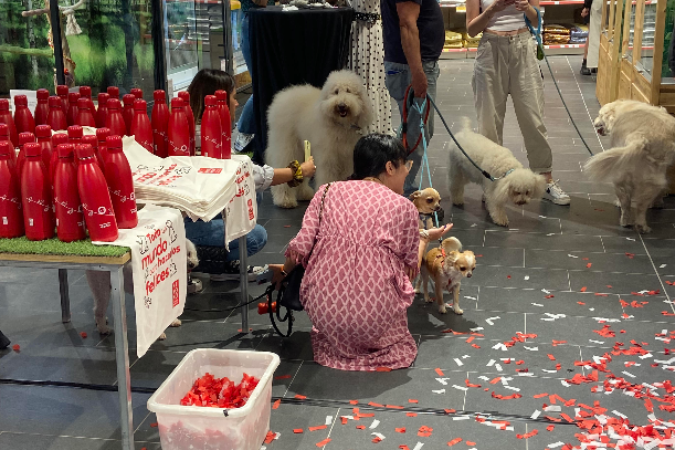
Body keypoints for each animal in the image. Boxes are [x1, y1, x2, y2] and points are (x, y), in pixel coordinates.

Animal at [266, 70, 374, 209]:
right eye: (336, 91)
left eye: (349, 91)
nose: (342, 105)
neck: (341, 126)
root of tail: (282, 96)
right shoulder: (328, 159)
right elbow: (327, 177)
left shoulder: (347, 159)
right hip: (287, 145)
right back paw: (285, 200)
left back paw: (304, 194)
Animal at [584, 98, 675, 232]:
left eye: (600, 115)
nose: (594, 121)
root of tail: (641, 138)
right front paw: (658, 202)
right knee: (636, 207)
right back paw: (636, 224)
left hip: (625, 176)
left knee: (629, 205)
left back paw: (631, 222)